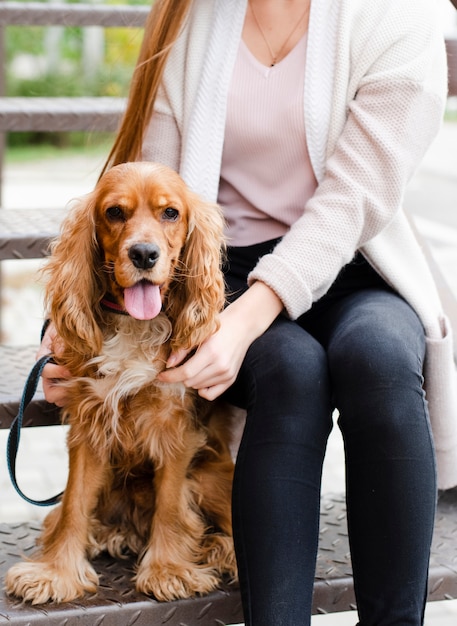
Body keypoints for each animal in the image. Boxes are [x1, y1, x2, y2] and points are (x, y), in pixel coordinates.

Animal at [5, 161, 237, 604]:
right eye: (114, 212)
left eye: (170, 213)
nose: (144, 253)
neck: (135, 324)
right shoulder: (88, 423)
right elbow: (74, 504)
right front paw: (57, 572)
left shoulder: (175, 427)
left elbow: (170, 505)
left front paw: (168, 570)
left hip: (211, 475)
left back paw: (221, 550)